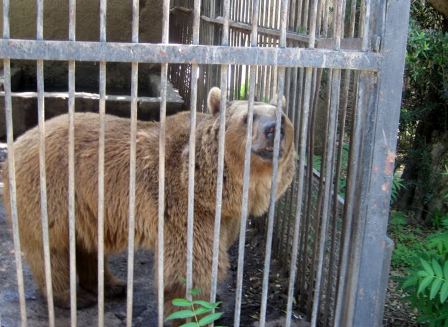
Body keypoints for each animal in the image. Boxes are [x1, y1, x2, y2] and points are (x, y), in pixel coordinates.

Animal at [3, 88, 298, 320]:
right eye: (248, 118)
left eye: (282, 117)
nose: (273, 129)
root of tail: (17, 143)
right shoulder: (182, 205)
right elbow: (188, 266)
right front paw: (192, 312)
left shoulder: (226, 219)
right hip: (50, 191)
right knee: (51, 249)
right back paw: (71, 296)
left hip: (85, 206)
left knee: (86, 244)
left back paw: (112, 286)